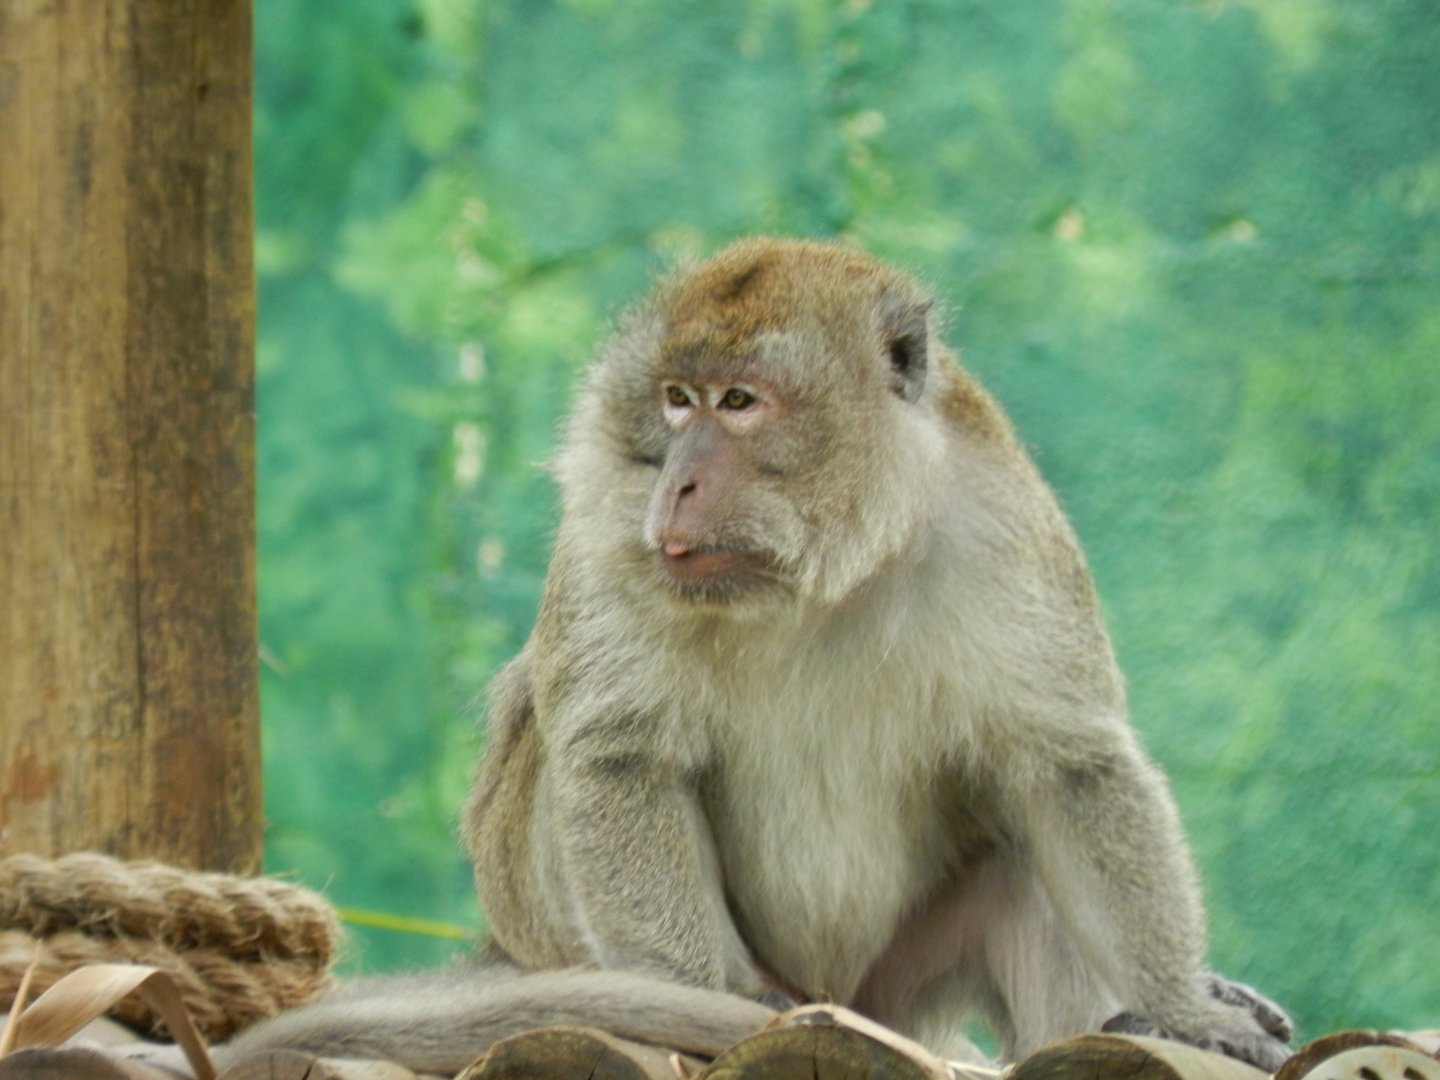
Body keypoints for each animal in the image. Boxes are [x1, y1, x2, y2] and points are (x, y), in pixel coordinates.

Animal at [138, 238, 1291, 1077]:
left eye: (741, 402)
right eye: (677, 400)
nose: (679, 481)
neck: (821, 571)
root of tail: (844, 1005)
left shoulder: (1004, 534)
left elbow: (1069, 767)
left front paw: (1185, 1005)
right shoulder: (610, 529)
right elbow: (620, 757)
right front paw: (700, 1001)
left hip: (895, 983)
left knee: (1019, 841)